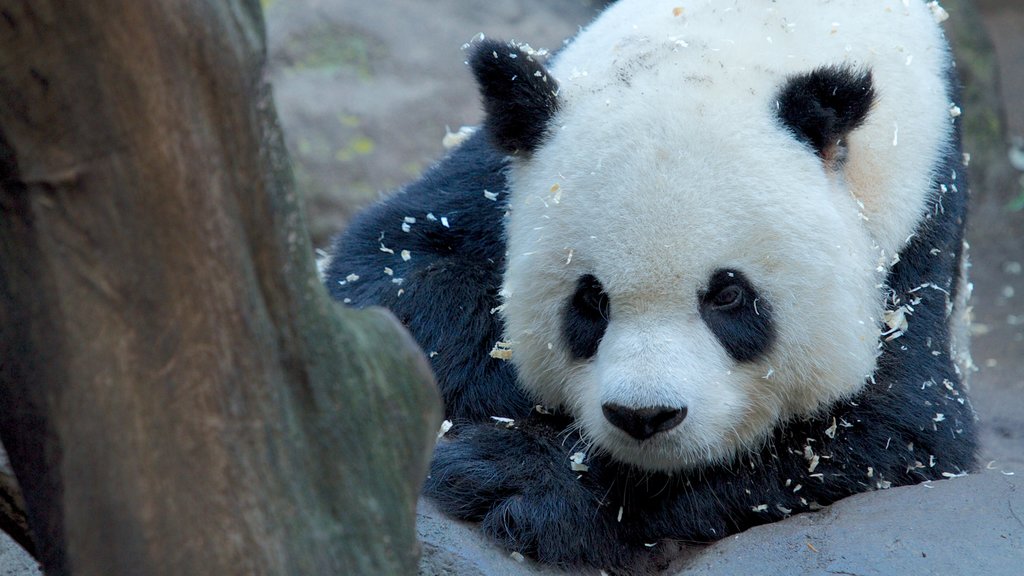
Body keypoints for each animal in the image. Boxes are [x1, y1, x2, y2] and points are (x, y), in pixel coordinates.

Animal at [325, 0, 974, 565]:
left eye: (729, 295)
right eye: (590, 299)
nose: (644, 416)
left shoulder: (916, 225)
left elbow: (892, 430)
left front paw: (524, 483)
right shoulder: (494, 169)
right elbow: (395, 272)